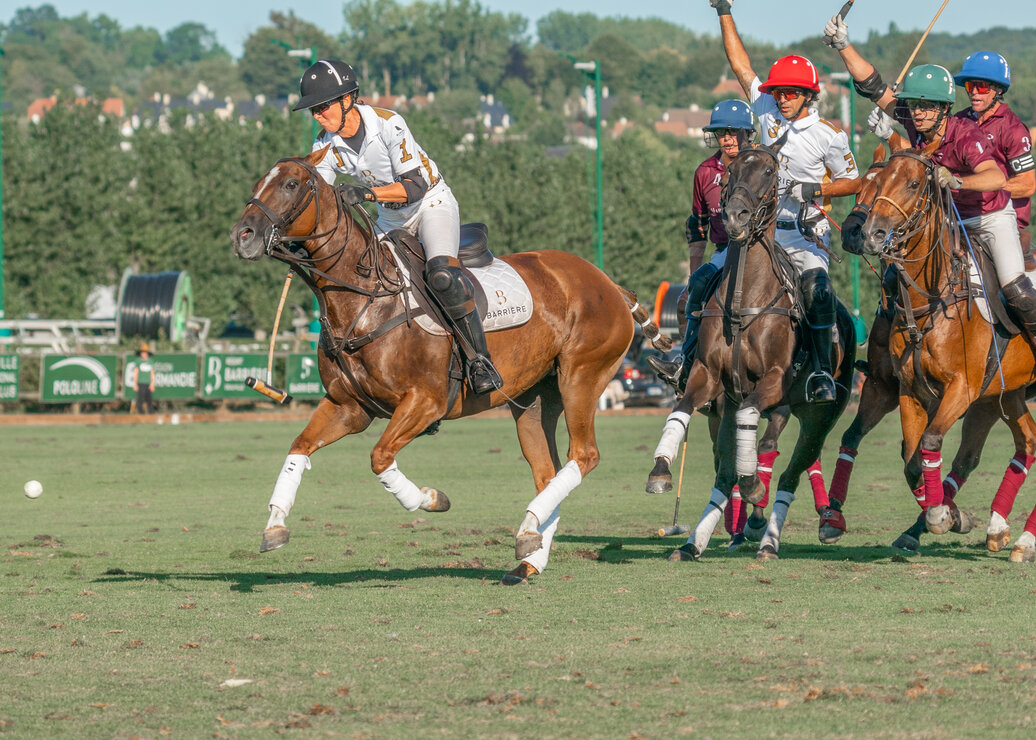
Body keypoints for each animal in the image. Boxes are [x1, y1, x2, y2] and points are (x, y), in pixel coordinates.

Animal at [232, 145, 671, 580]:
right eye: (258, 182)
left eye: (291, 184)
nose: (242, 237)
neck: (366, 298)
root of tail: (609, 283)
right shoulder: (349, 407)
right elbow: (300, 447)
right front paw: (274, 526)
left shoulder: (424, 402)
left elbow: (380, 457)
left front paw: (431, 499)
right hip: (535, 397)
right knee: (547, 472)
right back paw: (529, 554)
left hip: (582, 375)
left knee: (584, 455)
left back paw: (528, 532)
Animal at [646, 144, 857, 559]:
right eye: (730, 173)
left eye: (771, 173)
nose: (735, 216)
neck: (745, 299)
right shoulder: (708, 377)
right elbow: (681, 409)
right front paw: (660, 470)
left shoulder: (774, 382)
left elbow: (756, 434)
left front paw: (754, 490)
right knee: (729, 471)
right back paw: (695, 542)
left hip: (820, 415)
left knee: (791, 470)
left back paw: (772, 538)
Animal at [857, 143, 1036, 559]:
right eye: (874, 182)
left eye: (912, 183)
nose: (871, 234)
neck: (932, 299)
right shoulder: (910, 390)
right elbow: (911, 461)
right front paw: (950, 516)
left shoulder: (962, 388)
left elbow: (931, 442)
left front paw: (943, 515)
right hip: (1009, 392)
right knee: (1026, 443)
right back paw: (1012, 536)